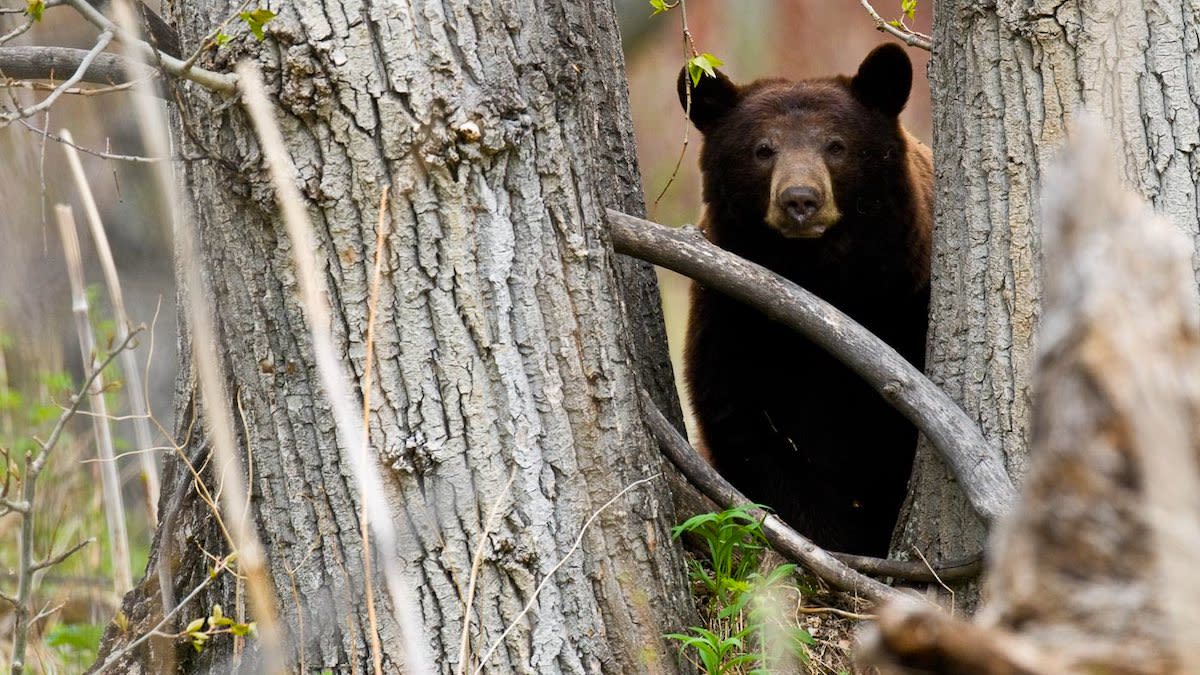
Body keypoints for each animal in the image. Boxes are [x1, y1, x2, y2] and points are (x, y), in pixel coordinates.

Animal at [679, 44, 932, 557]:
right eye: (762, 149)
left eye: (836, 145)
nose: (799, 200)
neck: (820, 278)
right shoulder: (732, 311)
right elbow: (744, 424)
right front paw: (829, 540)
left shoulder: (905, 298)